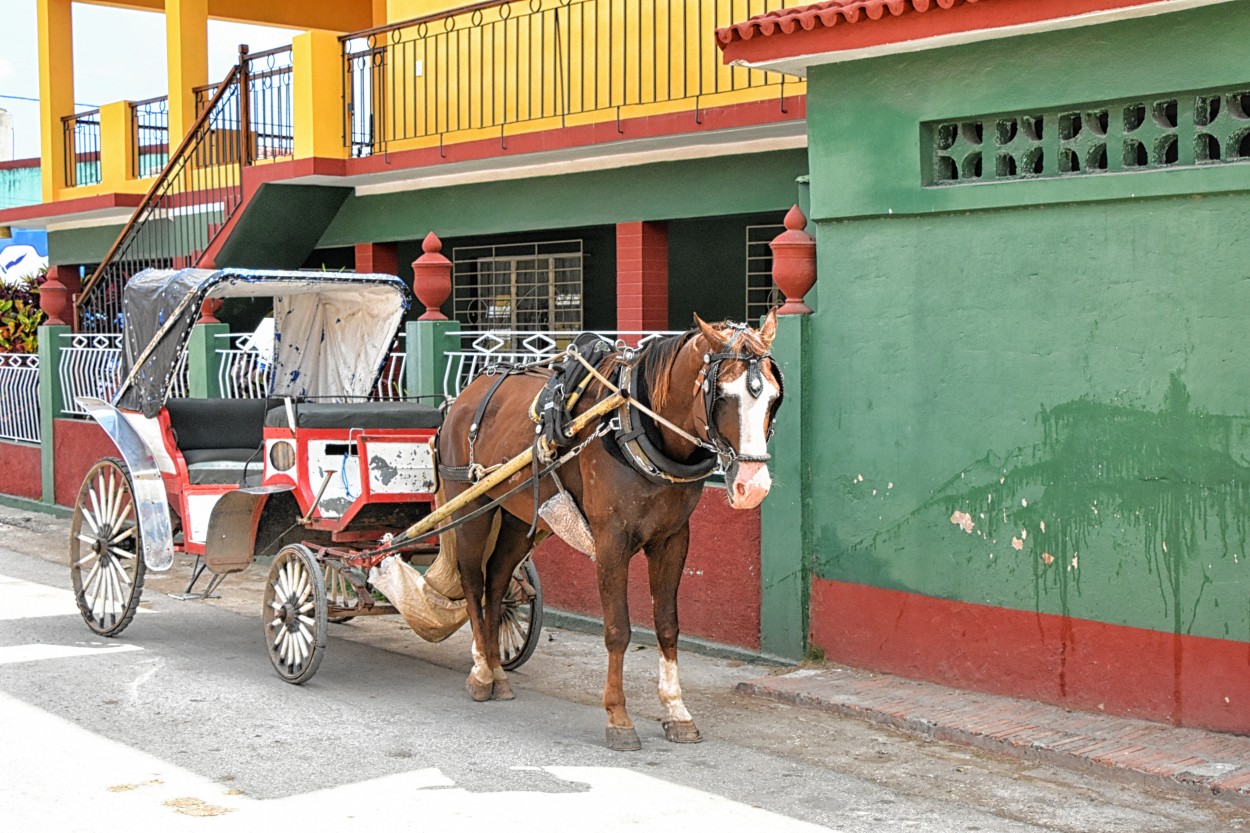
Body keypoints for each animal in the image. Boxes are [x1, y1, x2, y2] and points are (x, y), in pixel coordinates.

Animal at [435, 307, 775, 750]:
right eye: (723, 396)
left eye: (773, 397)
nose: (753, 486)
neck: (638, 425)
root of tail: (465, 394)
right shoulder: (611, 540)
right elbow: (618, 630)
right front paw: (618, 717)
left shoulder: (673, 539)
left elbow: (667, 625)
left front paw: (676, 710)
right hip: (471, 506)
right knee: (474, 581)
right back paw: (479, 672)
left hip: (518, 515)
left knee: (497, 581)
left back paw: (497, 672)